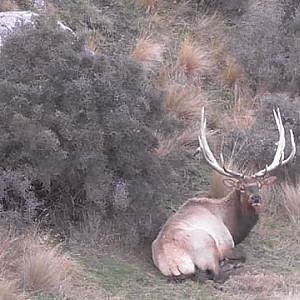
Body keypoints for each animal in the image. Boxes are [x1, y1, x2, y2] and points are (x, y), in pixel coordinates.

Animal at [151, 107, 296, 282]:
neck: (234, 226)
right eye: (241, 187)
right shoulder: (226, 242)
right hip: (206, 244)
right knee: (216, 274)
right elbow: (242, 254)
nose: (256, 198)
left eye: (259, 185)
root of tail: (172, 263)